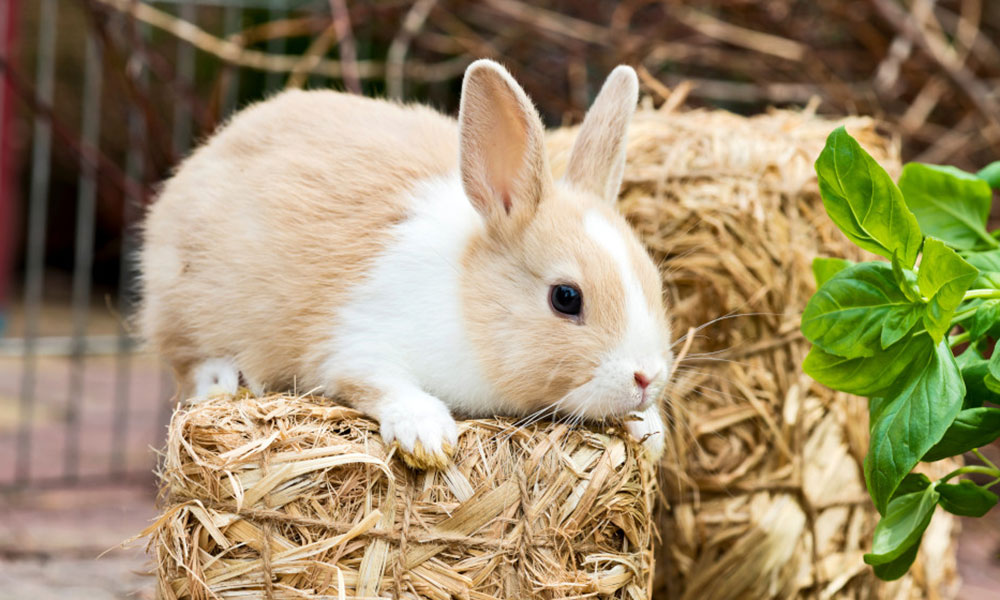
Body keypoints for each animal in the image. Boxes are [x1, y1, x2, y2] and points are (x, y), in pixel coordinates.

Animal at [139, 59, 672, 469]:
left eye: (654, 282)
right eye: (565, 298)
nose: (646, 378)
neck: (468, 298)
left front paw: (652, 432)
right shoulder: (357, 348)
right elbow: (380, 384)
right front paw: (428, 436)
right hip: (185, 308)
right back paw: (223, 382)